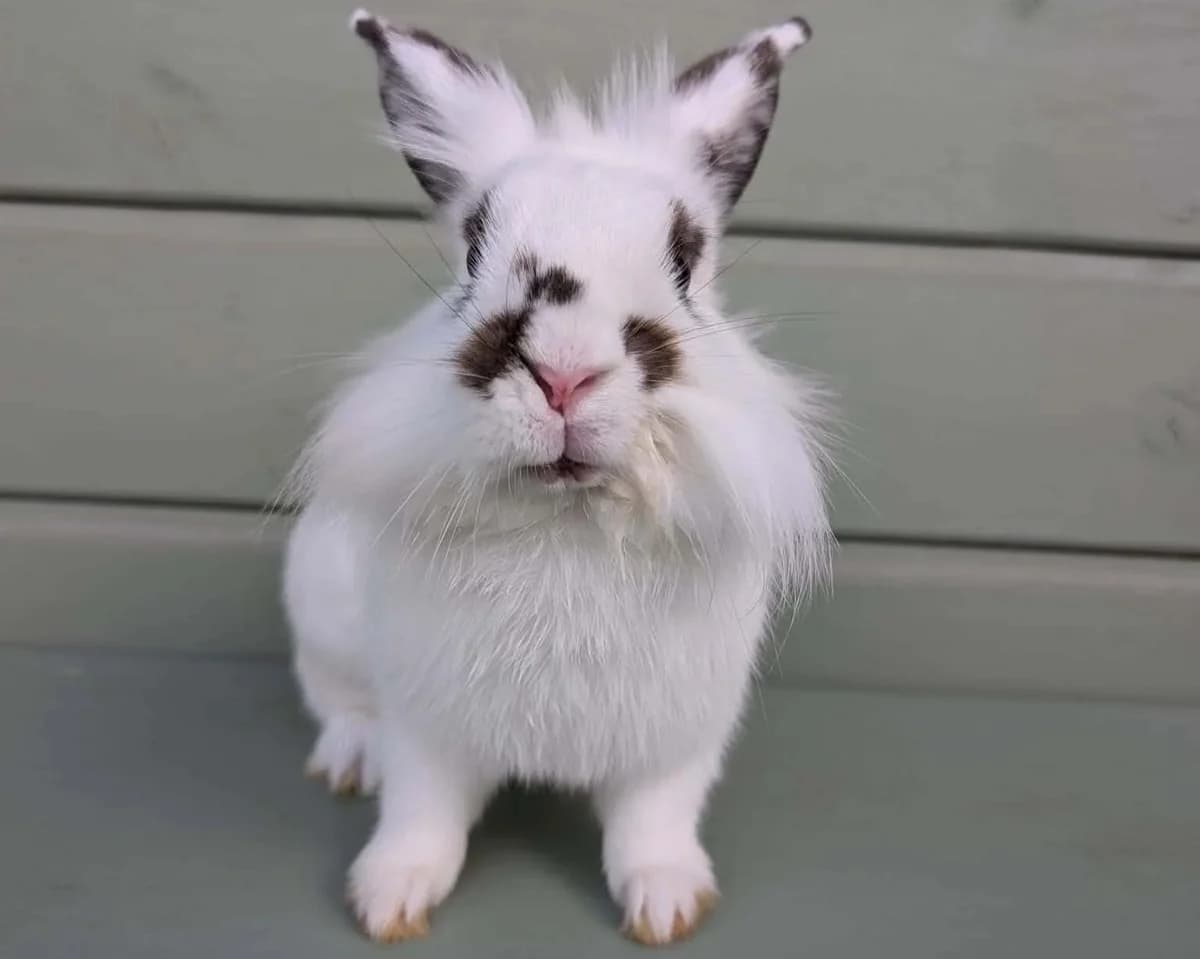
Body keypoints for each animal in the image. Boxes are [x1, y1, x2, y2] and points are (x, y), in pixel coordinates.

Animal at [282, 8, 831, 946]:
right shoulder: (425, 723)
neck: (566, 518)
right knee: (336, 699)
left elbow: (654, 821)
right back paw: (348, 760)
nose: (565, 373)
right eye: (473, 248)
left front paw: (668, 906)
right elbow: (421, 814)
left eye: (685, 259)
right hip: (319, 604)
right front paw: (388, 902)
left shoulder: (679, 737)